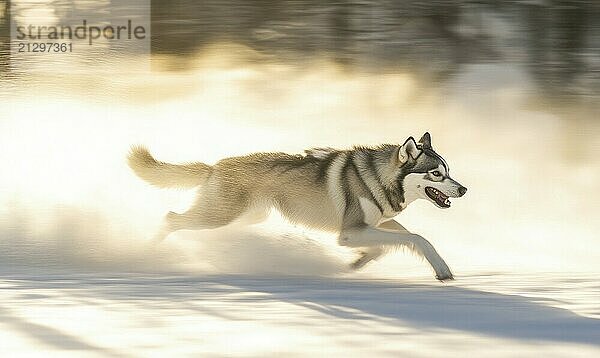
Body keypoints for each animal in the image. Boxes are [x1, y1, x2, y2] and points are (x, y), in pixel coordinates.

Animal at [129, 133, 466, 282]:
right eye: (436, 174)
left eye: (448, 170)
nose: (464, 189)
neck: (379, 178)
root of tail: (215, 166)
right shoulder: (349, 232)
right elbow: (414, 238)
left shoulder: (374, 225)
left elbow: (406, 241)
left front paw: (358, 262)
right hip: (219, 216)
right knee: (171, 218)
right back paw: (148, 253)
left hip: (246, 217)